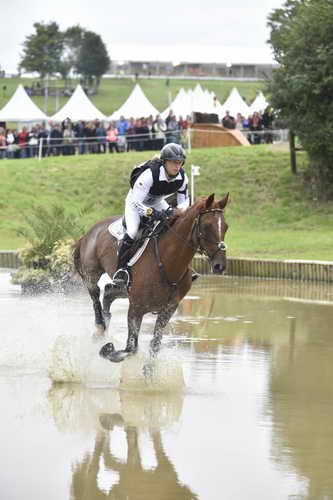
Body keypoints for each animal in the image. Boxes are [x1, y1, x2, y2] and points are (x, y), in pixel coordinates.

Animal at [72, 192, 228, 364]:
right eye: (207, 226)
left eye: (226, 227)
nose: (220, 265)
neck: (168, 262)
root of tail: (91, 231)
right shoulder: (136, 308)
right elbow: (130, 348)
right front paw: (107, 349)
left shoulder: (168, 309)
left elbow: (154, 346)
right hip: (91, 275)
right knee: (95, 298)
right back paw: (100, 328)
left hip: (124, 289)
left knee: (108, 292)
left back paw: (105, 323)